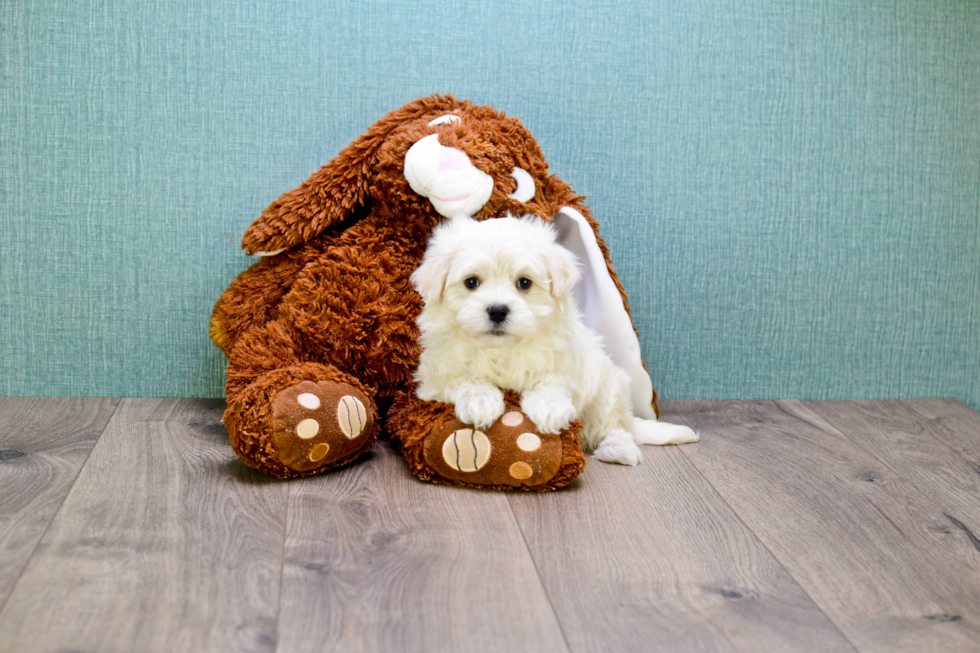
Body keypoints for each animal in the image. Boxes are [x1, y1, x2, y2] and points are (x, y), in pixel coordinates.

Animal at [410, 214, 692, 464]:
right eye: (471, 282)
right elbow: (463, 379)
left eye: (524, 283)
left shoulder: (563, 359)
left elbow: (552, 381)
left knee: (613, 425)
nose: (498, 310)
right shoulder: (434, 377)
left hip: (607, 388)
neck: (500, 347)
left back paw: (618, 450)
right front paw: (480, 400)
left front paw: (549, 407)